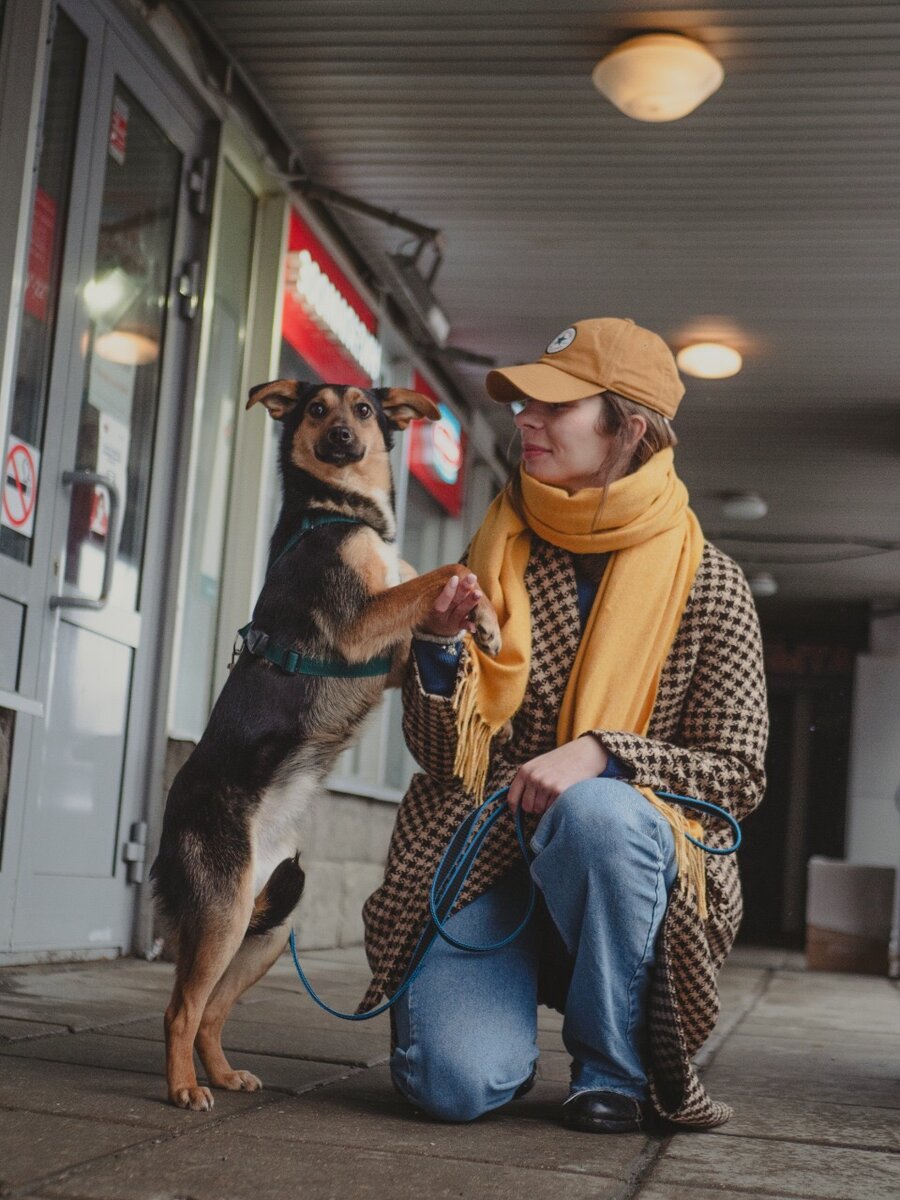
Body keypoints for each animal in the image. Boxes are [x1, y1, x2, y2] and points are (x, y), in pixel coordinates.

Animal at [150, 379, 501, 1108]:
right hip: (226, 915)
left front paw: (481, 620)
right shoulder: (359, 624)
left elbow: (441, 595)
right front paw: (476, 609)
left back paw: (222, 1074)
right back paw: (185, 1090)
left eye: (363, 409)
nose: (342, 437)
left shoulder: (390, 657)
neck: (340, 512)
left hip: (269, 924)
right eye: (317, 409)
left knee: (210, 1012)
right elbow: (439, 574)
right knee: (180, 1010)